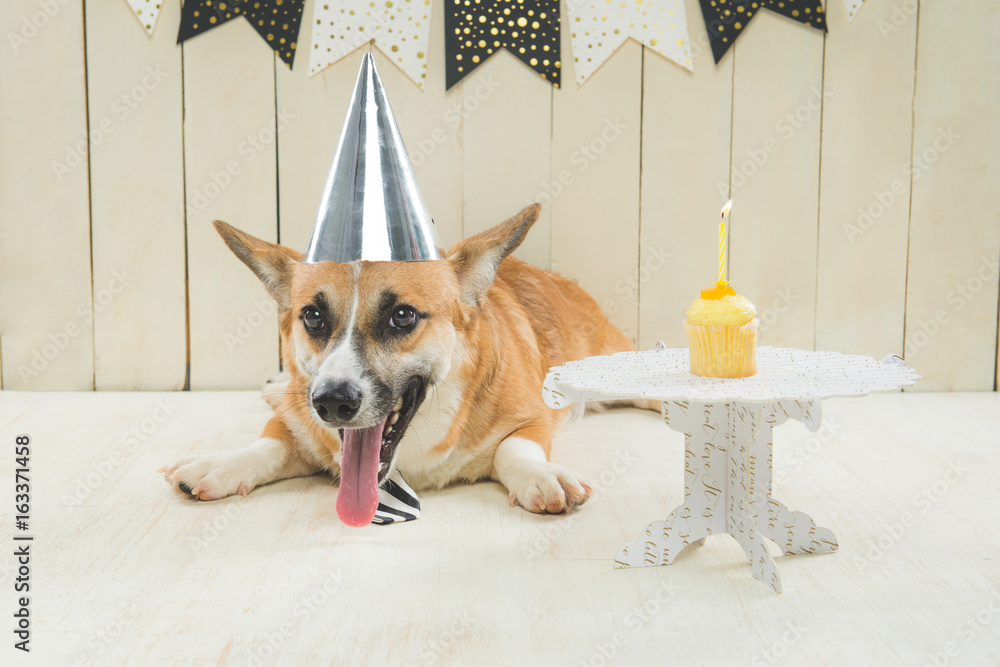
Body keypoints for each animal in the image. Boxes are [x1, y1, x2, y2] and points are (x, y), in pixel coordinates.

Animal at [160, 204, 652, 528]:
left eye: (402, 316)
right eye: (312, 316)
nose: (331, 403)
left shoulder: (531, 418)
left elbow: (515, 448)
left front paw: (541, 477)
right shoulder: (300, 421)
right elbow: (270, 442)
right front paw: (220, 464)